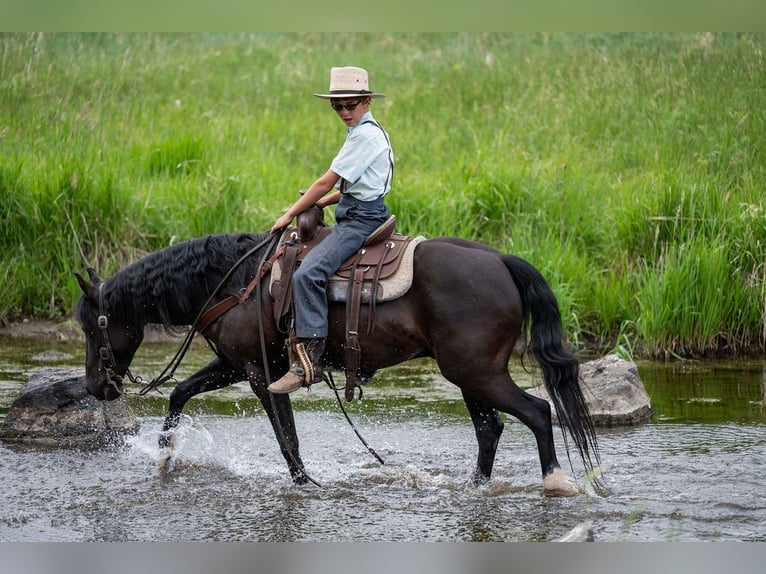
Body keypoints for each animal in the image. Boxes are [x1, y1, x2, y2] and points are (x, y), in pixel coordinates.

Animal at [74, 229, 601, 496]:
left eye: (92, 326)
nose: (97, 388)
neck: (235, 281)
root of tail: (501, 261)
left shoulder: (263, 375)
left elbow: (287, 439)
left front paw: (305, 484)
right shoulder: (235, 365)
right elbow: (180, 392)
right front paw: (164, 456)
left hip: (477, 371)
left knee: (538, 412)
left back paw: (555, 481)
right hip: (469, 374)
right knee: (490, 428)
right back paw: (474, 487)